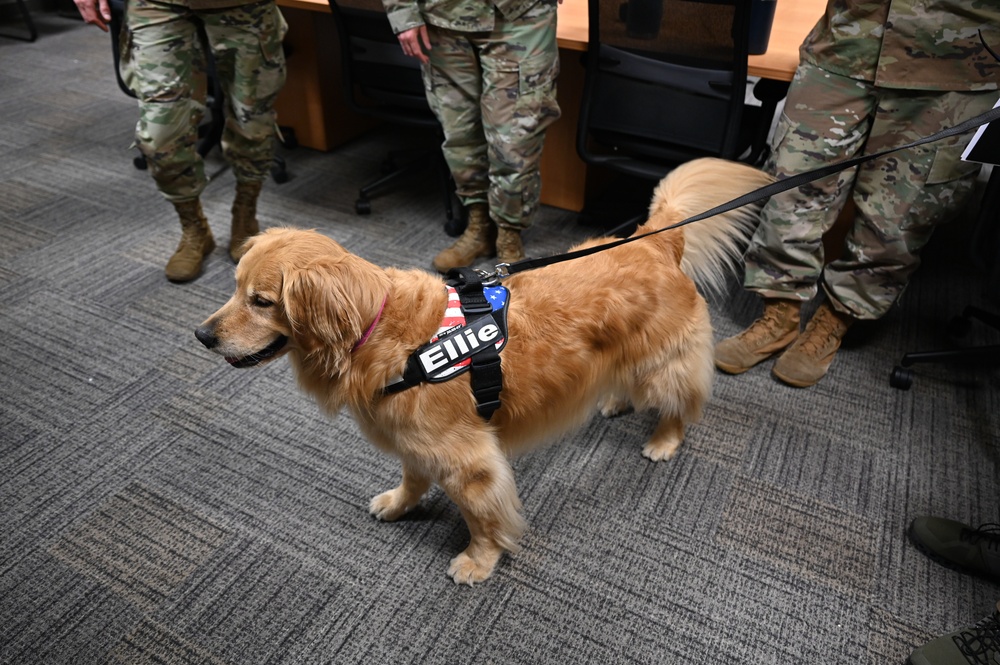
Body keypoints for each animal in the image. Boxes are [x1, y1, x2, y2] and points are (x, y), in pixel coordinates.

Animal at [197, 156, 772, 580]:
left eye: (261, 301)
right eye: (234, 286)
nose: (202, 335)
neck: (379, 332)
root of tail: (654, 237)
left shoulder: (468, 461)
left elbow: (483, 516)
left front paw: (479, 560)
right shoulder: (415, 441)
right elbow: (411, 479)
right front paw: (399, 504)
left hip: (665, 363)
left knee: (681, 401)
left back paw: (664, 440)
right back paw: (613, 400)